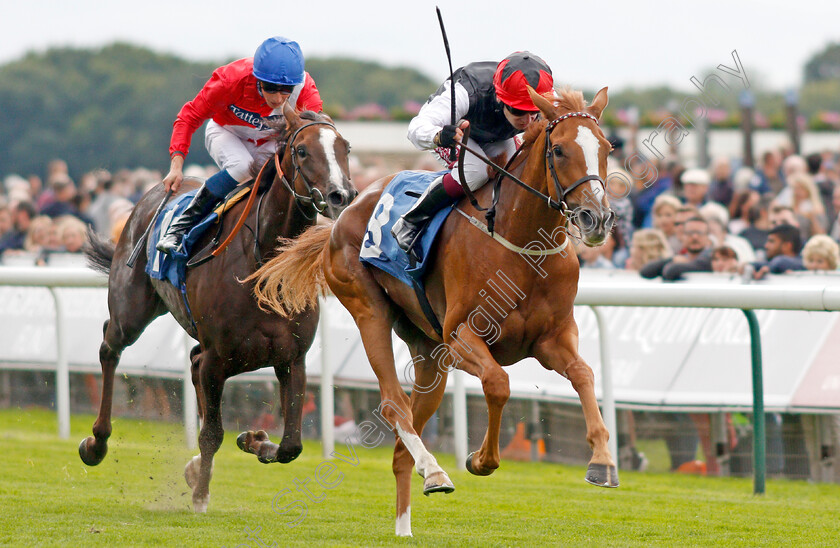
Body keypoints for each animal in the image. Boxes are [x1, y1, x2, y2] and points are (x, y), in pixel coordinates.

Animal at [77, 104, 356, 512]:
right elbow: (212, 433)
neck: (264, 267)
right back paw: (96, 442)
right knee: (108, 348)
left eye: (345, 147)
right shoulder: (218, 357)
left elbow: (291, 444)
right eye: (302, 151)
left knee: (189, 361)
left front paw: (252, 441)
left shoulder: (292, 357)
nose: (341, 195)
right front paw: (200, 494)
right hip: (131, 310)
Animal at [249, 88, 616, 536]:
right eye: (560, 149)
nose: (597, 218)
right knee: (393, 404)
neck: (522, 243)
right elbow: (498, 383)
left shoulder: (553, 338)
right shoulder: (461, 337)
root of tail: (343, 214)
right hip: (368, 308)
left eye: (607, 148)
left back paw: (409, 518)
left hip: (428, 352)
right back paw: (435, 470)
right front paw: (480, 459)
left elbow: (583, 374)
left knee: (402, 444)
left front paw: (602, 462)